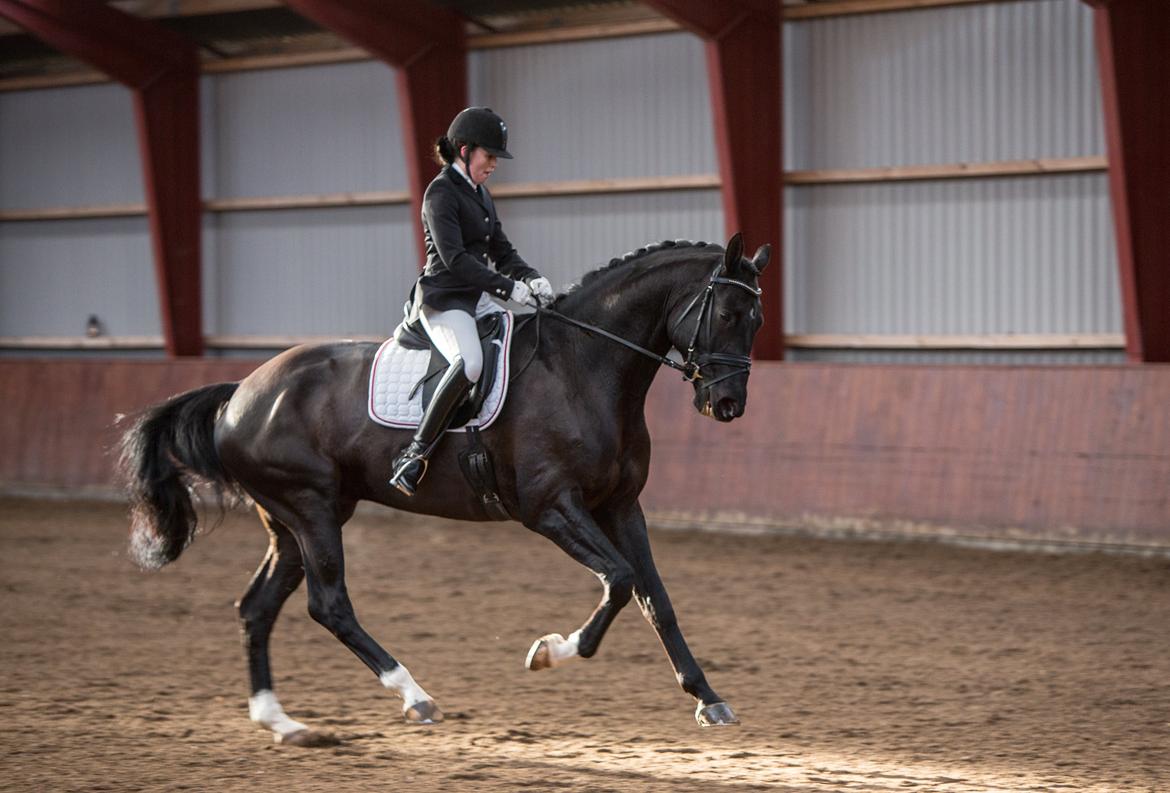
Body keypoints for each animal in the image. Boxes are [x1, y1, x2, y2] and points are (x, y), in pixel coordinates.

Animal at [121, 231, 767, 743]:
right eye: (728, 315)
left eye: (757, 321)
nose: (728, 406)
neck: (583, 369)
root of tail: (242, 391)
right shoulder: (550, 508)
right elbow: (620, 580)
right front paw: (548, 653)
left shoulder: (622, 507)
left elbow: (655, 599)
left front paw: (709, 699)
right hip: (310, 510)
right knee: (329, 604)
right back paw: (414, 695)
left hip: (290, 523)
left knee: (257, 607)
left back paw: (281, 721)